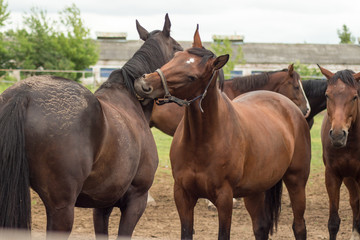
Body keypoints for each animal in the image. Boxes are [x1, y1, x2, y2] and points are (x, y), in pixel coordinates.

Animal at [0, 14, 183, 239]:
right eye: (178, 50)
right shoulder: (136, 200)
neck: (131, 99)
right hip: (62, 209)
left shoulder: (102, 205)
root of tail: (23, 95)